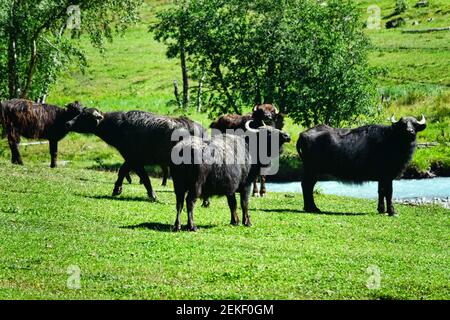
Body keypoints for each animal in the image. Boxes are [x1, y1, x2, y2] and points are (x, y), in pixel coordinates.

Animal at [65, 107, 207, 200]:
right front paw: (117, 189)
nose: (68, 123)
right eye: (80, 113)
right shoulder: (132, 160)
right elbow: (125, 172)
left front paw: (152, 195)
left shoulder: (134, 159)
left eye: (84, 116)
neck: (119, 126)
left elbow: (139, 175)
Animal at [298, 115, 428, 215]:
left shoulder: (381, 177)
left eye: (414, 124)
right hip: (312, 170)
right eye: (403, 124)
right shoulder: (387, 176)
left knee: (307, 186)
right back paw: (312, 208)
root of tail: (303, 134)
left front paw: (381, 209)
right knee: (307, 185)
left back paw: (310, 207)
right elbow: (389, 192)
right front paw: (392, 211)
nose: (410, 131)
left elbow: (381, 191)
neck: (392, 140)